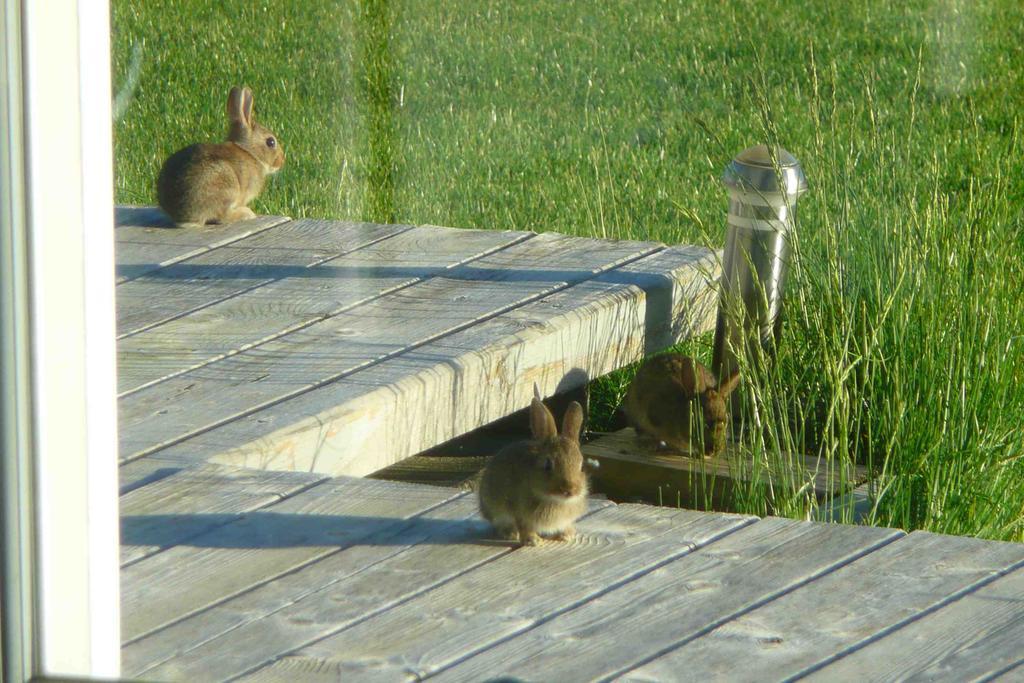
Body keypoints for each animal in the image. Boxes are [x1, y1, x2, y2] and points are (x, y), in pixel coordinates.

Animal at [155, 86, 284, 227]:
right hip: (226, 188)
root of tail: (185, 218)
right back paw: (246, 213)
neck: (250, 152)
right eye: (270, 142)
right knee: (222, 216)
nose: (282, 161)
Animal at [479, 393, 593, 548]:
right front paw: (533, 540)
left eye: (581, 467)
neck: (556, 499)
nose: (569, 490)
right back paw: (510, 533)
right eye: (548, 465)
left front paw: (566, 535)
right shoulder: (520, 512)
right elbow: (524, 526)